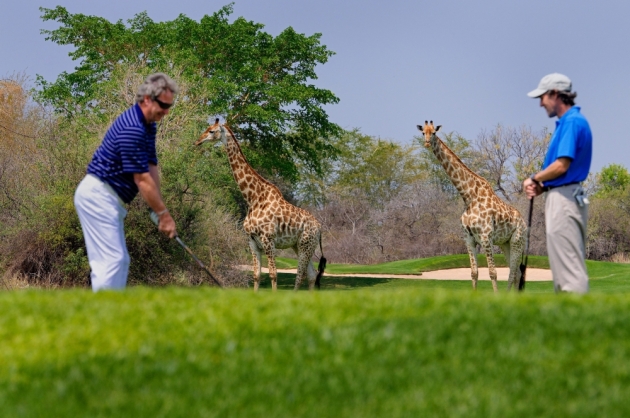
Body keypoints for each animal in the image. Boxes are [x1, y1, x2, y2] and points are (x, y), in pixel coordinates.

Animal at [196, 119, 326, 292]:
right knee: (311, 275)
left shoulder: (268, 240)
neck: (253, 199)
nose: (198, 141)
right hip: (300, 246)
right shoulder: (252, 241)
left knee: (300, 276)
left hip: (305, 245)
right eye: (207, 128)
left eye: (212, 131)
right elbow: (256, 275)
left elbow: (273, 274)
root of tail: (319, 228)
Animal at [420, 119, 528, 292]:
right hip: (505, 243)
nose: (427, 143)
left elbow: (492, 273)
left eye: (434, 132)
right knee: (516, 272)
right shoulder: (468, 238)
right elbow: (474, 273)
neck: (469, 197)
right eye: (423, 132)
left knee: (513, 272)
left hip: (518, 240)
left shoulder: (485, 237)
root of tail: (524, 223)